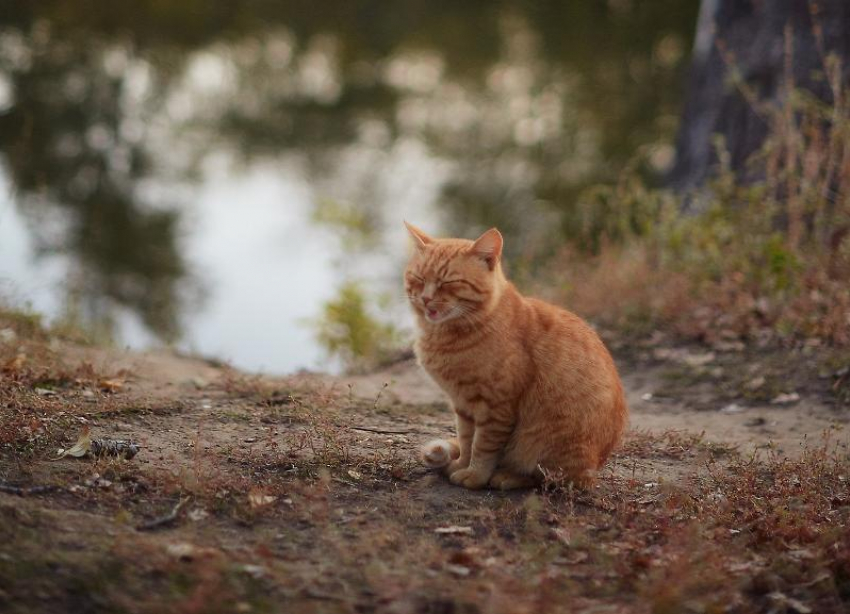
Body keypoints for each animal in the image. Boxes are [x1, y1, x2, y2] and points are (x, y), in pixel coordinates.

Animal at [404, 224, 624, 494]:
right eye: (419, 279)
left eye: (449, 282)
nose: (425, 299)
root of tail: (598, 465)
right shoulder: (463, 405)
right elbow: (466, 440)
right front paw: (461, 465)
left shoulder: (496, 406)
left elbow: (483, 446)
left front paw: (475, 475)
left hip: (546, 446)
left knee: (550, 479)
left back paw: (507, 476)